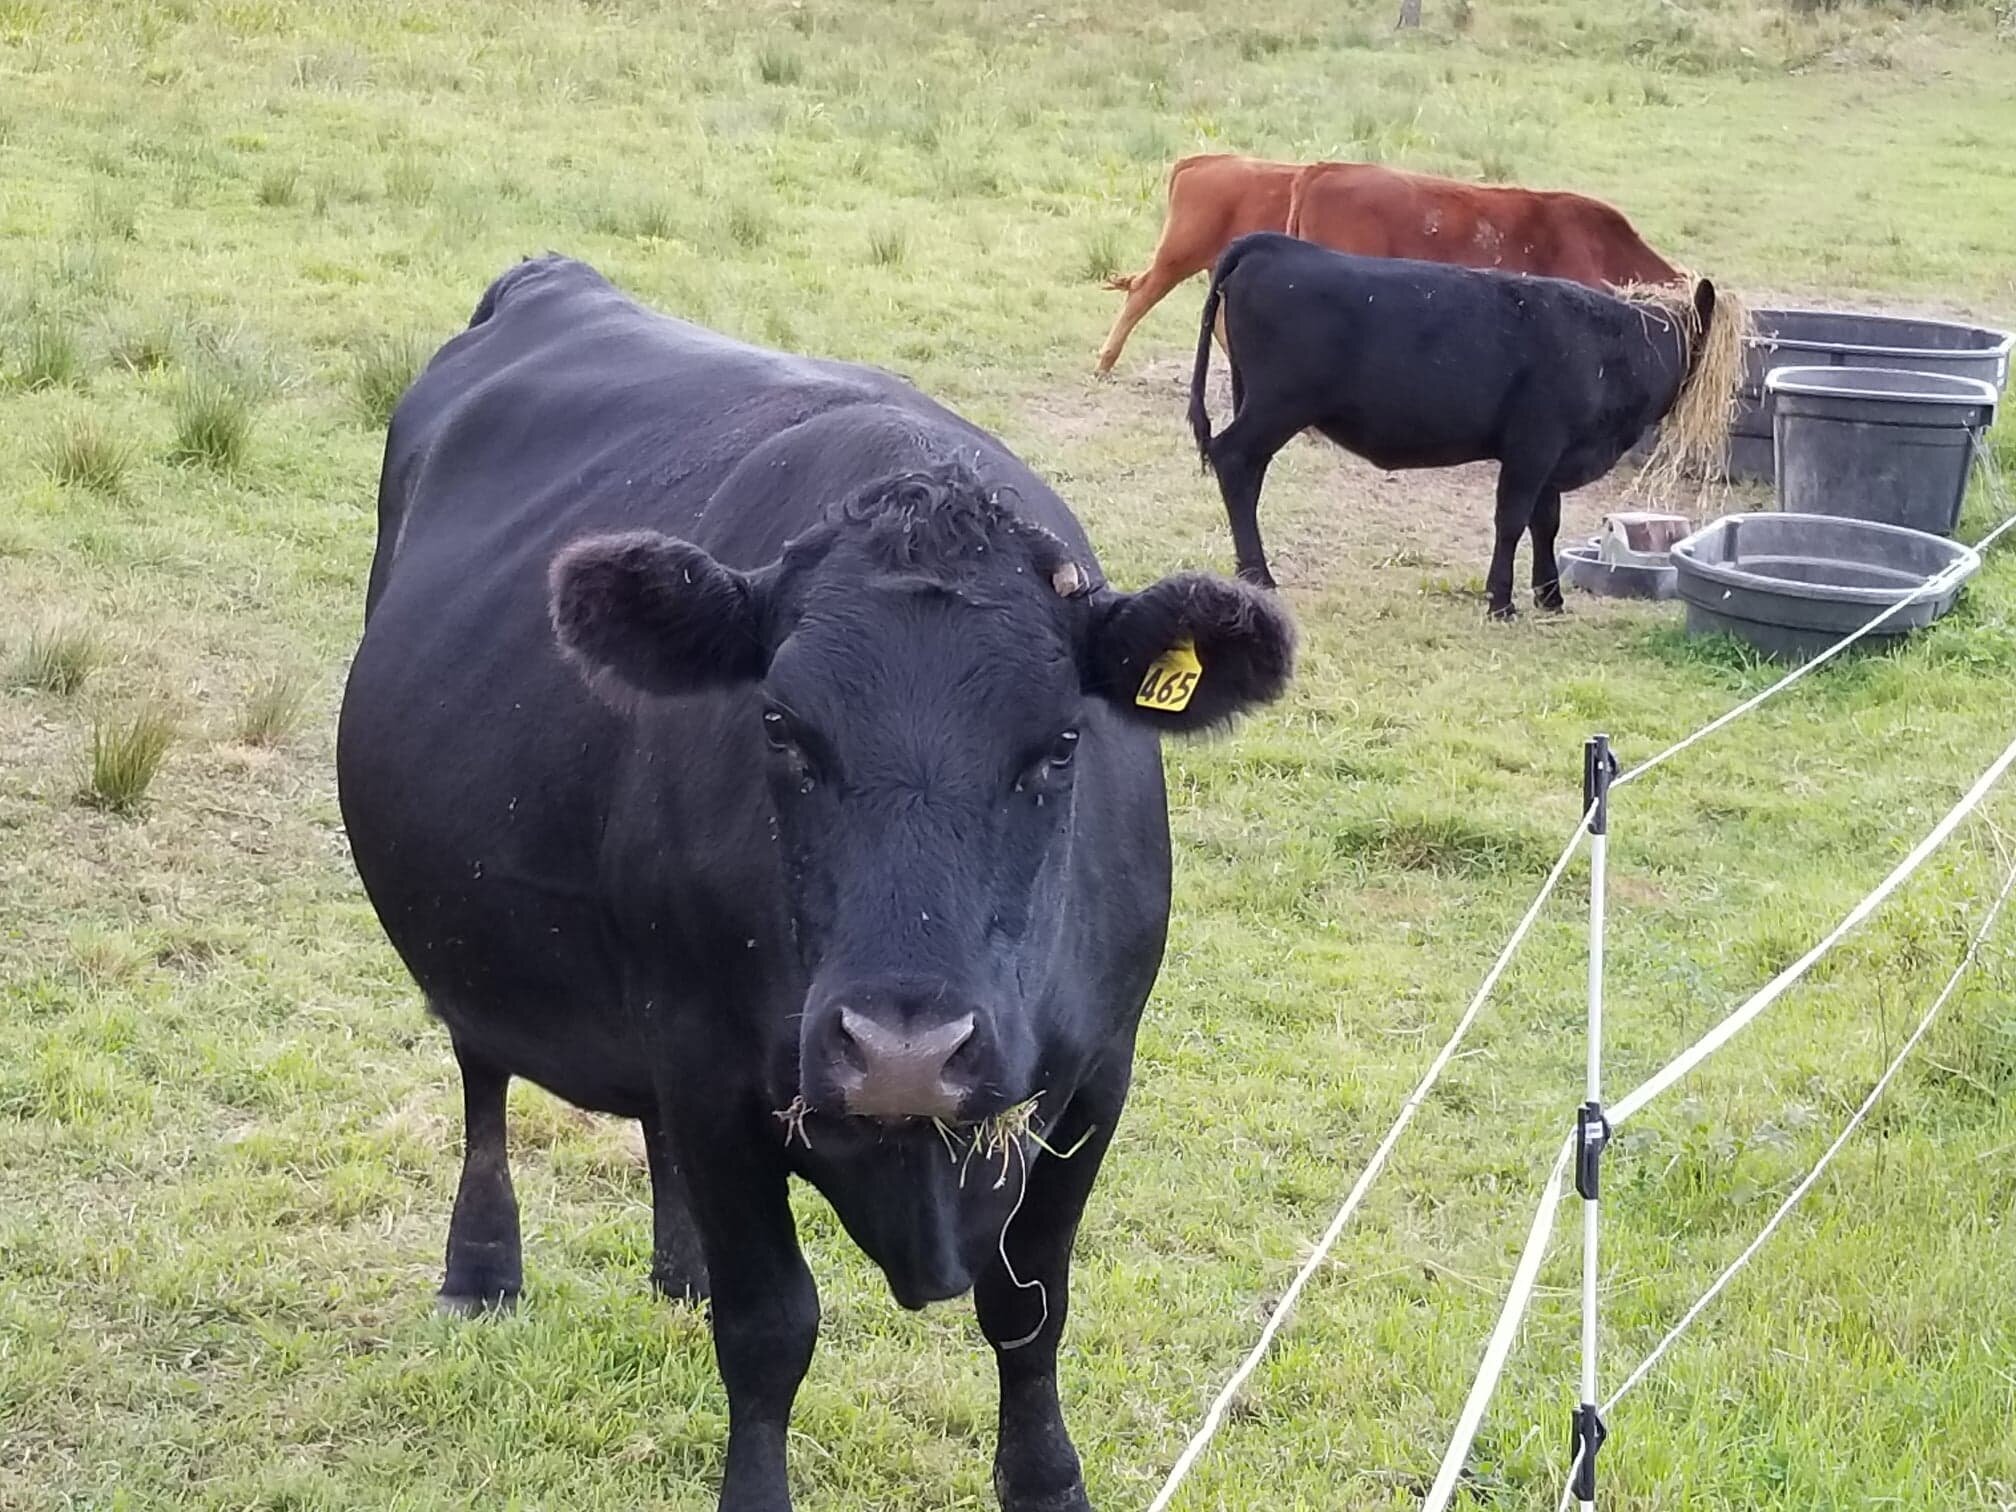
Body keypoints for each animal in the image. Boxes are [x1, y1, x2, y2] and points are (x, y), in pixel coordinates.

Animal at [336, 255, 1295, 1512]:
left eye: (1058, 746)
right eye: (782, 729)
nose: (903, 1051)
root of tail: (552, 278)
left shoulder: (1097, 1077)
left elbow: (1031, 1310)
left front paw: (1046, 1482)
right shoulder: (711, 1069)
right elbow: (770, 1329)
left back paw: (678, 1266)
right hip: (482, 943)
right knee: (484, 1074)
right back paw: (481, 1268)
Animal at [1187, 234, 1743, 618]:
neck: (1608, 350)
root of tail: (1273, 245)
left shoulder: (1552, 456)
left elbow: (1546, 522)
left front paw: (1550, 596)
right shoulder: (1532, 447)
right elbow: (1512, 520)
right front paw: (1501, 600)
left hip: (1260, 403)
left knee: (1248, 474)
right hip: (1278, 405)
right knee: (1233, 458)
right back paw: (1259, 574)